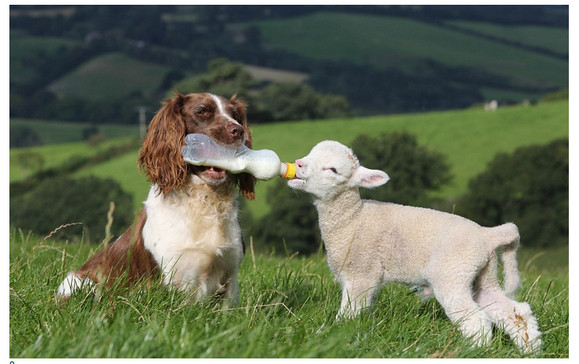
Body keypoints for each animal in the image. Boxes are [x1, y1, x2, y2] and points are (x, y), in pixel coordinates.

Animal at [56, 92, 256, 302]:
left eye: (235, 115)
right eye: (202, 111)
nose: (238, 131)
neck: (204, 202)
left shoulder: (229, 277)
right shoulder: (172, 278)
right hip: (80, 282)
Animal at [290, 139, 544, 352]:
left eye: (333, 170)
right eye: (311, 153)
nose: (299, 164)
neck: (353, 219)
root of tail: (487, 234)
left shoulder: (361, 273)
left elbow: (349, 313)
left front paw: (333, 336)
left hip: (452, 273)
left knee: (477, 320)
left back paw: (472, 351)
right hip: (483, 275)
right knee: (515, 312)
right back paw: (530, 350)